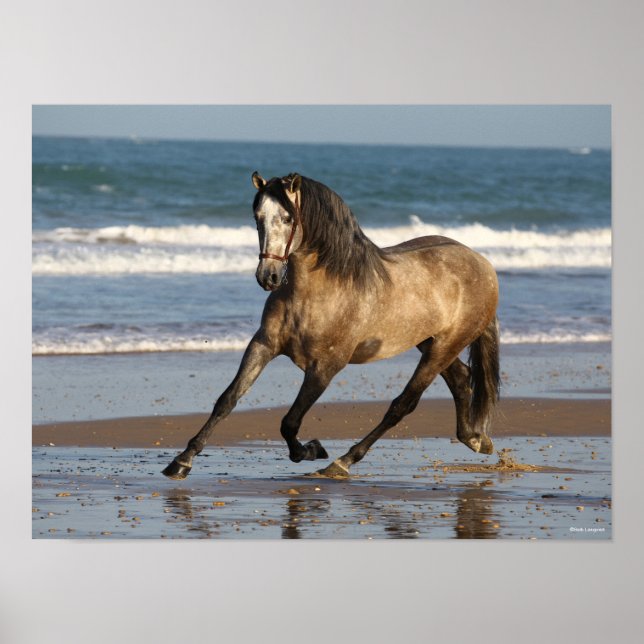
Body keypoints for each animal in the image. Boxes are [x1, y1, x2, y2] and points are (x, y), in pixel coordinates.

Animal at [163, 172, 500, 480]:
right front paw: (181, 461)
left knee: (402, 405)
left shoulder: (325, 368)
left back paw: (342, 462)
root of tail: (481, 263)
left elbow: (290, 422)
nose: (268, 276)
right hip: (430, 342)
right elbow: (227, 400)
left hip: (444, 346)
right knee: (461, 378)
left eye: (288, 218)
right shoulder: (262, 345)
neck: (318, 291)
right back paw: (476, 439)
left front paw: (311, 450)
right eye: (257, 217)